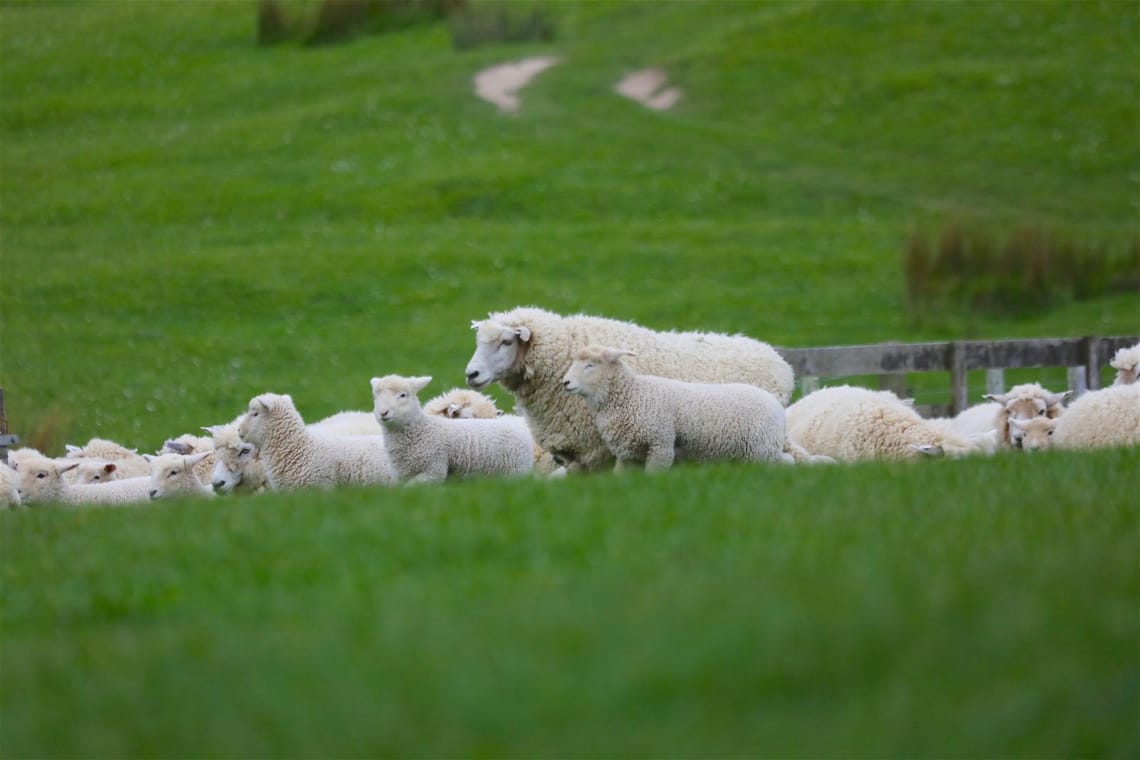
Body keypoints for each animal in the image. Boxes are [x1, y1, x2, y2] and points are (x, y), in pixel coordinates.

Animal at [560, 344, 793, 469]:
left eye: (590, 365)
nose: (565, 382)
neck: (632, 395)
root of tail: (779, 408)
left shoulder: (660, 444)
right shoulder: (628, 453)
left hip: (761, 451)